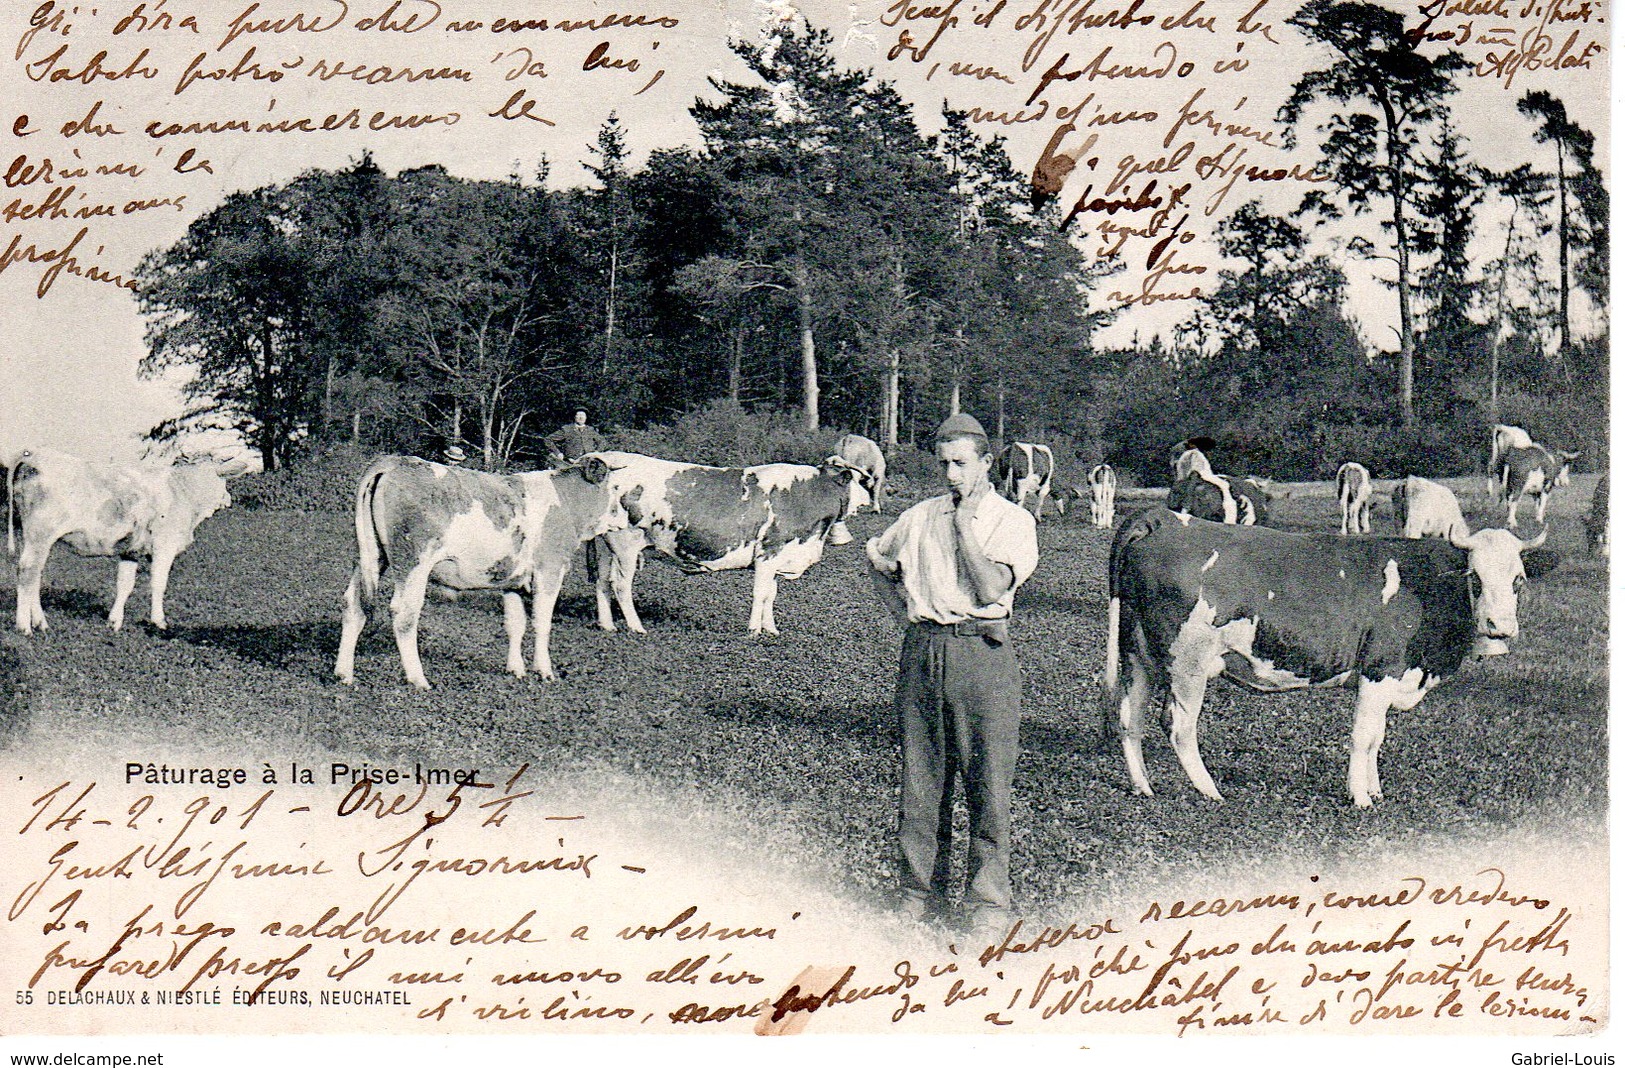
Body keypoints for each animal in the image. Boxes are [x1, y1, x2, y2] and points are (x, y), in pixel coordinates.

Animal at [7, 448, 242, 633]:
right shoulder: (164, 546)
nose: (228, 499)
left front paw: (114, 622)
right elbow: (158, 583)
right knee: (27, 572)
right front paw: (159, 621)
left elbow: (125, 585)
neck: (184, 490)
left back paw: (40, 623)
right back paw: (24, 626)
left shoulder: (130, 550)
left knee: (36, 576)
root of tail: (34, 454)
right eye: (223, 480)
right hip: (40, 533)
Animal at [329, 451, 614, 685]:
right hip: (414, 562)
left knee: (353, 605)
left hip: (370, 556)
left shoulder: (511, 579)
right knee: (404, 614)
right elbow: (542, 622)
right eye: (617, 487)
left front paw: (516, 670)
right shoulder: (550, 568)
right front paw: (544, 671)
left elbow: (515, 623)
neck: (565, 500)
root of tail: (393, 462)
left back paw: (344, 674)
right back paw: (418, 679)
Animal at [588, 448, 877, 633]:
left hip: (605, 545)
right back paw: (637, 627)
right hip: (626, 544)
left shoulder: (777, 557)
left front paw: (771, 629)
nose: (868, 500)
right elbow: (760, 592)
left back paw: (608, 625)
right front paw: (754, 630)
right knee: (620, 585)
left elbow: (771, 593)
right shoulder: (769, 551)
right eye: (859, 481)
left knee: (602, 582)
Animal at [1111, 507, 1553, 799]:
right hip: (1188, 662)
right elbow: (1363, 737)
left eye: (1518, 579)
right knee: (1178, 726)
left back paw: (1143, 787)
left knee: (1129, 717)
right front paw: (1359, 798)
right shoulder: (1380, 669)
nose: (1499, 625)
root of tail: (1164, 517)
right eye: (1474, 578)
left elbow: (1377, 737)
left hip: (1138, 654)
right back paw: (1210, 792)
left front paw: (1374, 793)